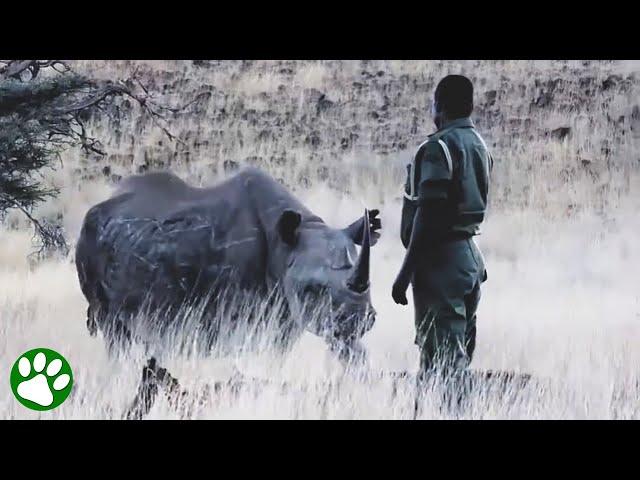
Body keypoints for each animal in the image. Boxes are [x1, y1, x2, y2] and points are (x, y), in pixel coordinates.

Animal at [77, 169, 382, 364]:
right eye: (311, 288)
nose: (357, 320)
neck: (285, 244)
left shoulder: (286, 314)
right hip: (89, 243)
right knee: (114, 331)